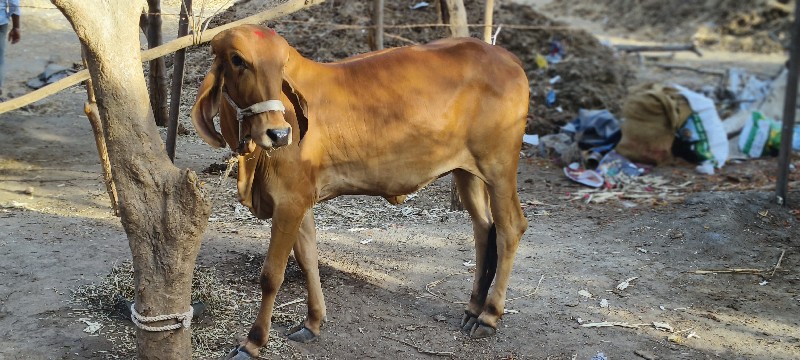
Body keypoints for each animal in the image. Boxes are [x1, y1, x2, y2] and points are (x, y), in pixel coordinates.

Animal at [191, 23, 532, 358]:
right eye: (237, 60)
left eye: (281, 63)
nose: (279, 134)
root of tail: (507, 58)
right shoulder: (300, 201)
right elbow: (307, 259)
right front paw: (313, 322)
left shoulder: (289, 202)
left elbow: (272, 275)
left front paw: (253, 342)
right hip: (467, 172)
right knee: (483, 229)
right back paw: (473, 308)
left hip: (499, 169)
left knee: (510, 228)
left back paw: (489, 315)